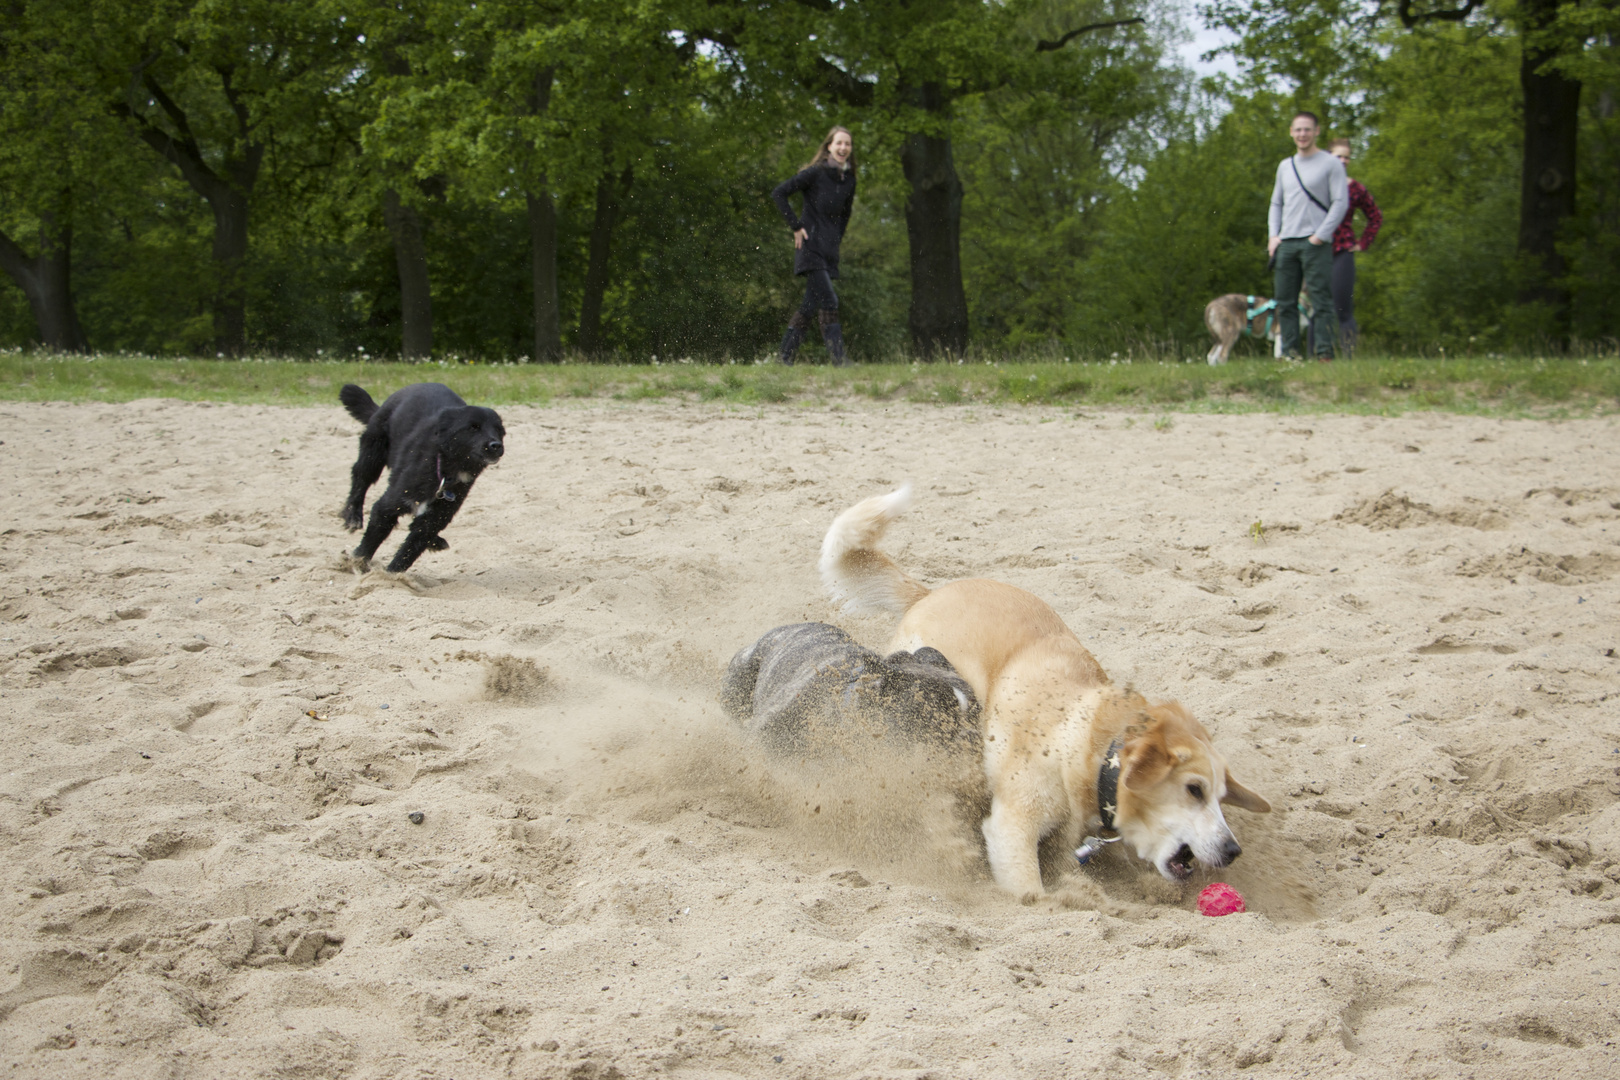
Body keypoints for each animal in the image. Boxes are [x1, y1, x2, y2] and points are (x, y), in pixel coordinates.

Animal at [822, 485, 1263, 900]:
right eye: (1194, 790)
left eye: (1221, 796)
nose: (1233, 851)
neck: (1091, 745)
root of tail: (928, 593)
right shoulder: (1012, 827)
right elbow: (1030, 893)